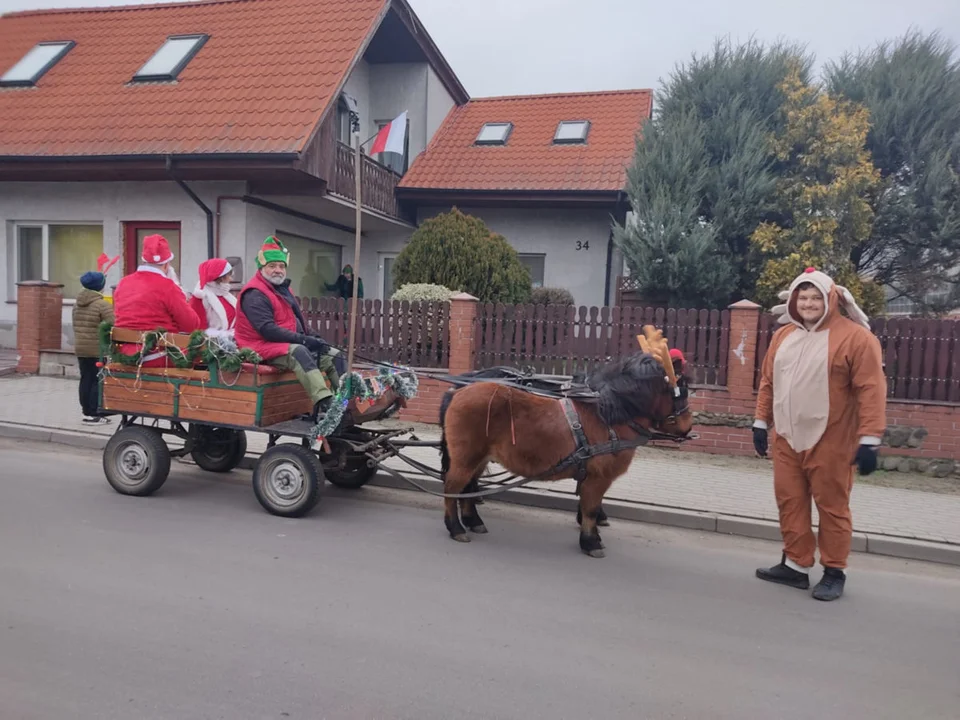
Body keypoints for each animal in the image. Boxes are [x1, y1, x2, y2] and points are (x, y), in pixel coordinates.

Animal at [438, 326, 692, 556]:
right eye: (683, 388)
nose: (688, 427)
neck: (607, 416)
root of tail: (458, 391)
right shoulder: (598, 478)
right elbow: (591, 509)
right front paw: (591, 541)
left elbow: (590, 506)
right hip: (466, 457)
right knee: (452, 488)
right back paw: (456, 527)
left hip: (478, 458)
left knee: (468, 487)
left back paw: (473, 521)